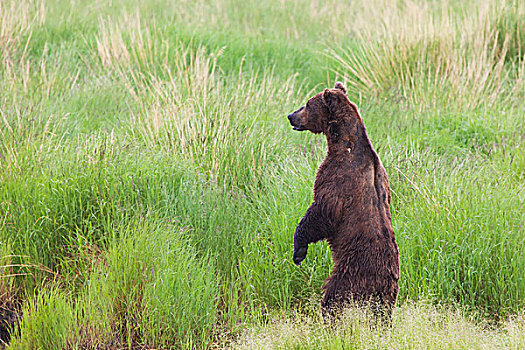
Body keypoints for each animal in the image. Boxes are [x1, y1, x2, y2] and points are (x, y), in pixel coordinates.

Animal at [286, 82, 398, 318]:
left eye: (308, 103)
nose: (291, 116)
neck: (344, 144)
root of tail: (383, 284)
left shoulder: (338, 179)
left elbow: (321, 211)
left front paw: (298, 251)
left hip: (349, 275)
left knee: (333, 300)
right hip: (388, 298)